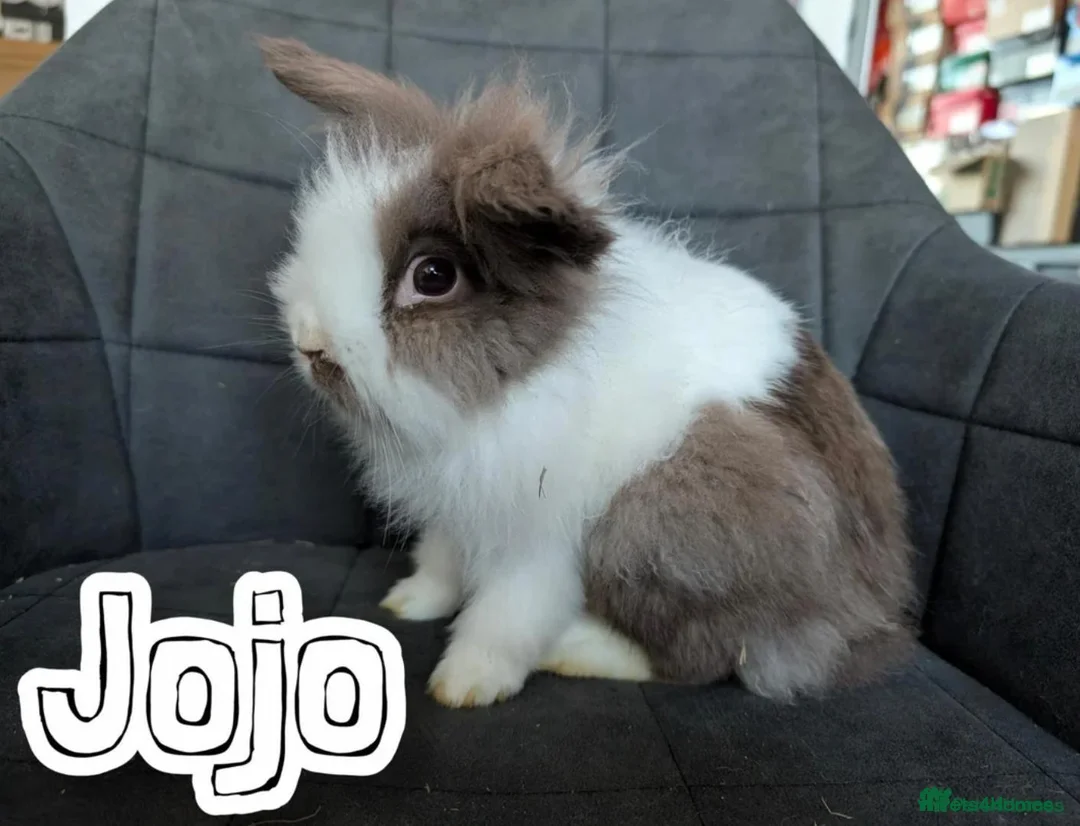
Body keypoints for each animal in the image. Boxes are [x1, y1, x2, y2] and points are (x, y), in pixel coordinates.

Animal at [258, 36, 918, 709]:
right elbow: (442, 561)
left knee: (704, 657)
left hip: (666, 524)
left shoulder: (541, 542)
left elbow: (506, 617)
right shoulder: (458, 509)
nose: (311, 347)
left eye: (433, 277)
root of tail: (872, 614)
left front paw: (466, 683)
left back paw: (579, 650)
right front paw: (412, 602)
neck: (519, 383)